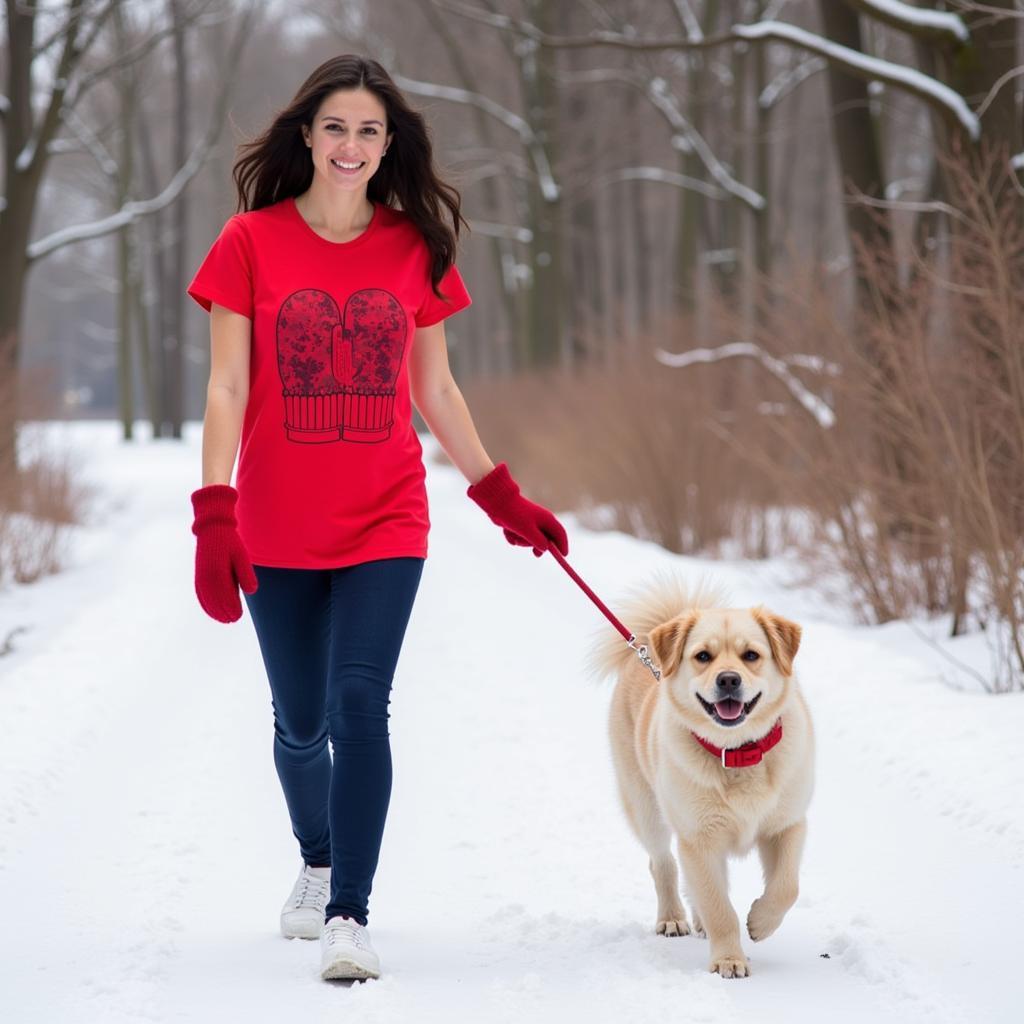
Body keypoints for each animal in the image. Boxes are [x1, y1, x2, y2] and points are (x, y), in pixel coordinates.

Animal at [593, 573, 815, 978]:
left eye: (751, 655)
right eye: (702, 657)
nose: (728, 680)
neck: (738, 752)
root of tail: (645, 645)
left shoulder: (787, 825)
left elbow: (787, 887)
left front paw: (760, 922)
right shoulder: (699, 837)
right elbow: (718, 907)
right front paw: (729, 959)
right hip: (647, 809)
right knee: (663, 864)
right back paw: (673, 918)